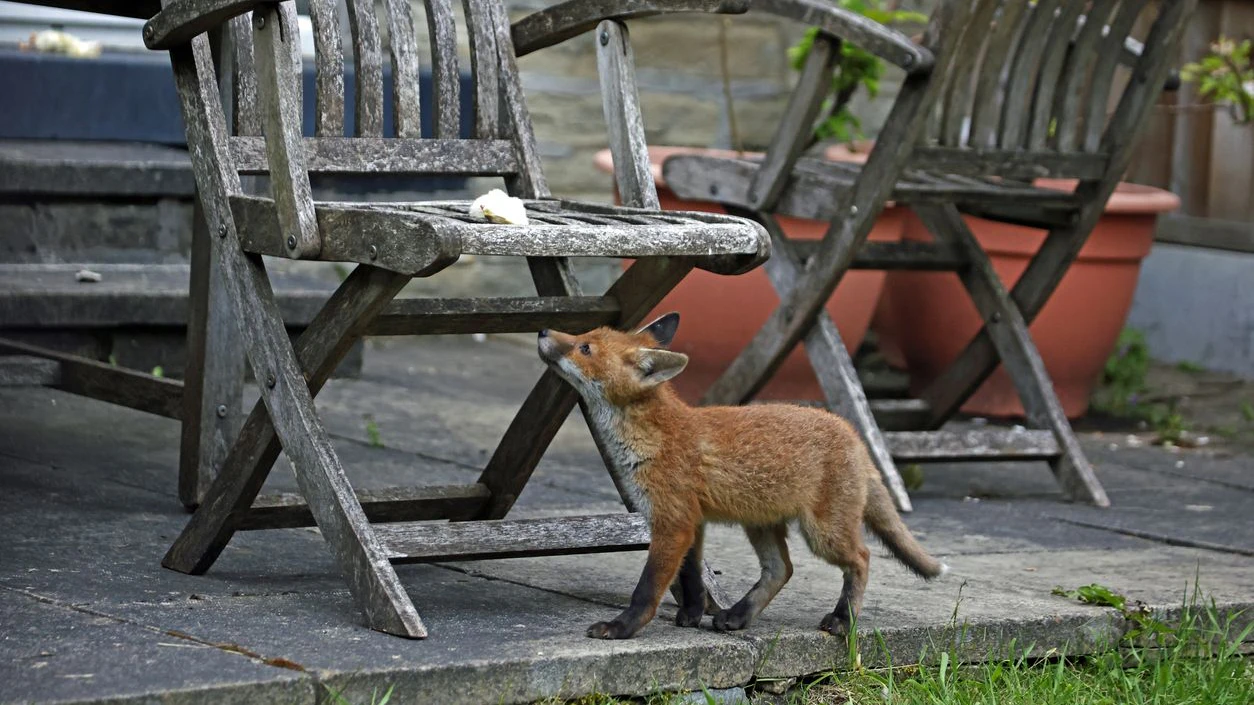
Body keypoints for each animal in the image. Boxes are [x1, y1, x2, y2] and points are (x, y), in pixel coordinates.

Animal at [537, 312, 947, 640]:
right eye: (584, 336)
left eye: (585, 348)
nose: (543, 330)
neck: (653, 435)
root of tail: (854, 434)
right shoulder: (691, 520)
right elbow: (691, 576)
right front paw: (691, 614)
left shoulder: (673, 521)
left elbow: (648, 587)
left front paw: (622, 627)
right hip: (760, 523)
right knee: (782, 569)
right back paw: (738, 615)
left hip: (823, 533)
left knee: (861, 558)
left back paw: (843, 619)